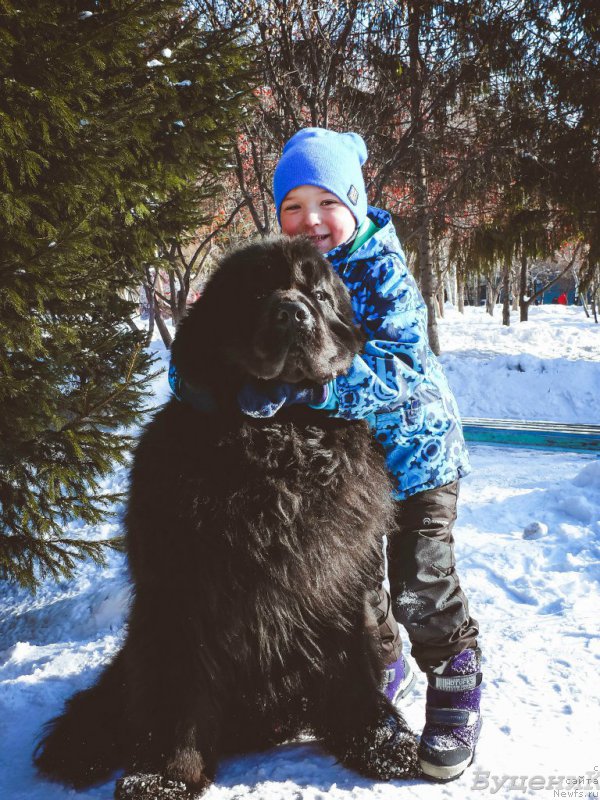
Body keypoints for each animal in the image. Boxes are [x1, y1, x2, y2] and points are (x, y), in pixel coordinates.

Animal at [34, 234, 418, 796]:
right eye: (253, 295)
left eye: (320, 295)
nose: (292, 312)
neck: (279, 443)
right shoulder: (183, 600)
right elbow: (176, 698)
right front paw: (163, 776)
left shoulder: (334, 587)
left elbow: (352, 669)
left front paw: (382, 741)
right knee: (109, 701)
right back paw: (79, 747)